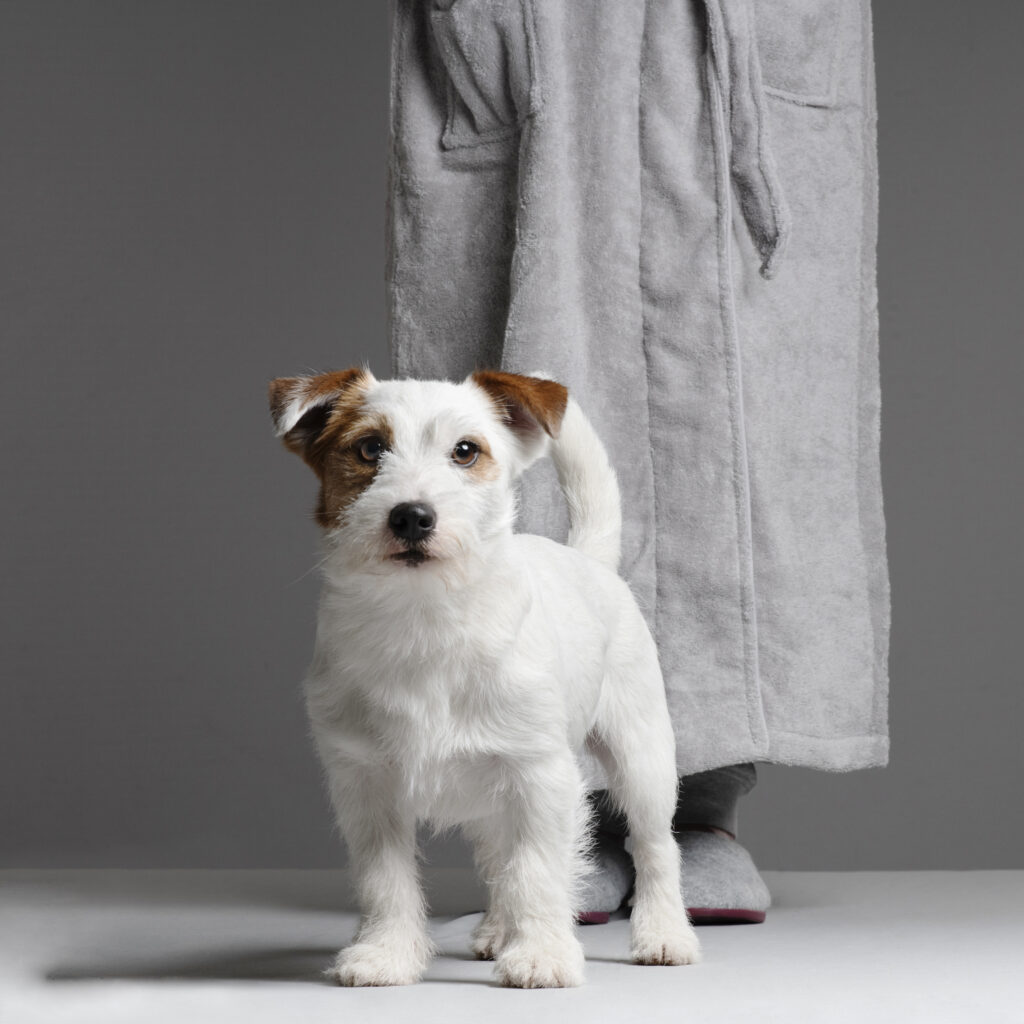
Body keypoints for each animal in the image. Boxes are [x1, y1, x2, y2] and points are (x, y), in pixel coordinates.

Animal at [268, 366, 700, 983]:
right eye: (370, 448)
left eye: (466, 451)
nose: (412, 515)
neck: (426, 620)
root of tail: (587, 559)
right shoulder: (366, 787)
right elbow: (385, 881)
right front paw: (386, 953)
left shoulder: (541, 777)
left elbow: (539, 871)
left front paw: (542, 954)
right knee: (499, 858)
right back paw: (499, 929)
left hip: (641, 757)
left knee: (655, 846)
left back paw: (664, 933)